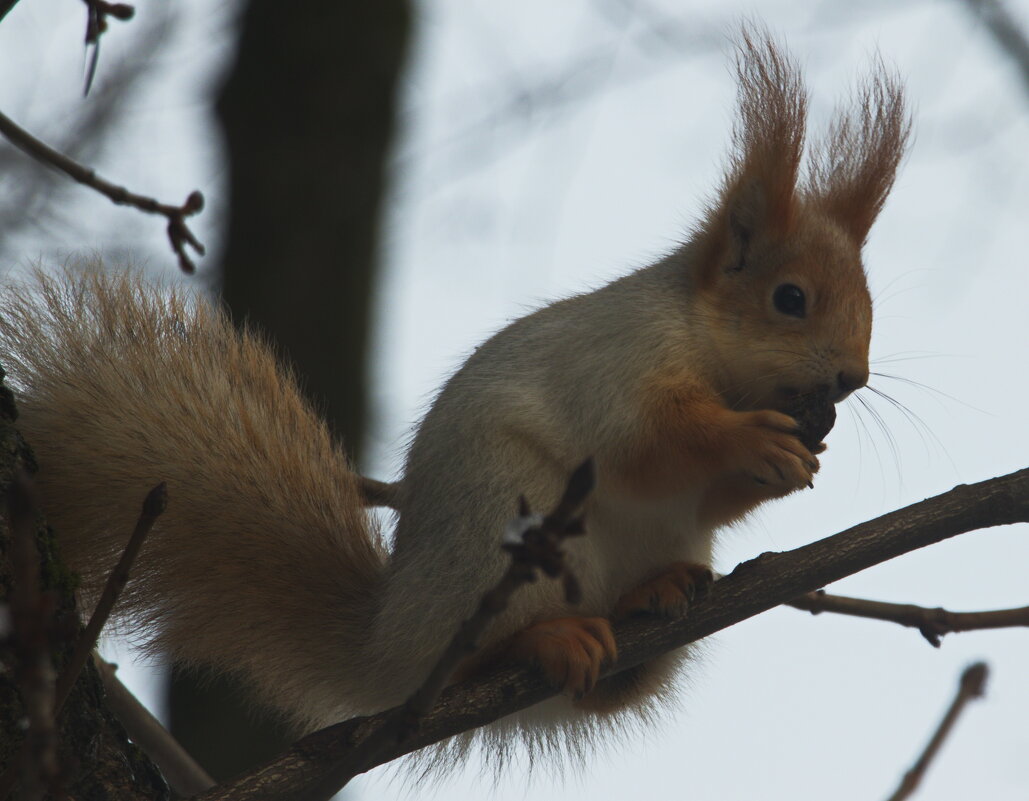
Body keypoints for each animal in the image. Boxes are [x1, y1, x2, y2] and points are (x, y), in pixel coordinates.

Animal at [0, 29, 909, 765]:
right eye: (789, 299)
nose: (850, 379)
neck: (709, 350)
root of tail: (389, 645)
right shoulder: (618, 365)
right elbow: (651, 441)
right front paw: (754, 442)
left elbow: (706, 497)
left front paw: (795, 458)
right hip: (503, 530)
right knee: (482, 654)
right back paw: (548, 637)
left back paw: (653, 597)